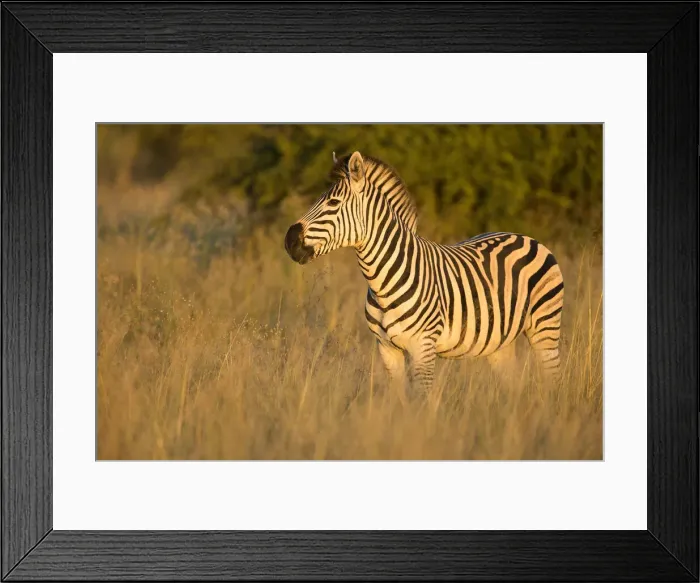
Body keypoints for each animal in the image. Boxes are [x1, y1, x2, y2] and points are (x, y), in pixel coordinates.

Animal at [284, 151, 564, 396]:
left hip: (545, 329)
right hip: (499, 342)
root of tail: (524, 236)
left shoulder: (423, 348)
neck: (382, 282)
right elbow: (398, 400)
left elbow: (422, 401)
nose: (289, 240)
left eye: (333, 203)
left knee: (552, 379)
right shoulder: (387, 350)